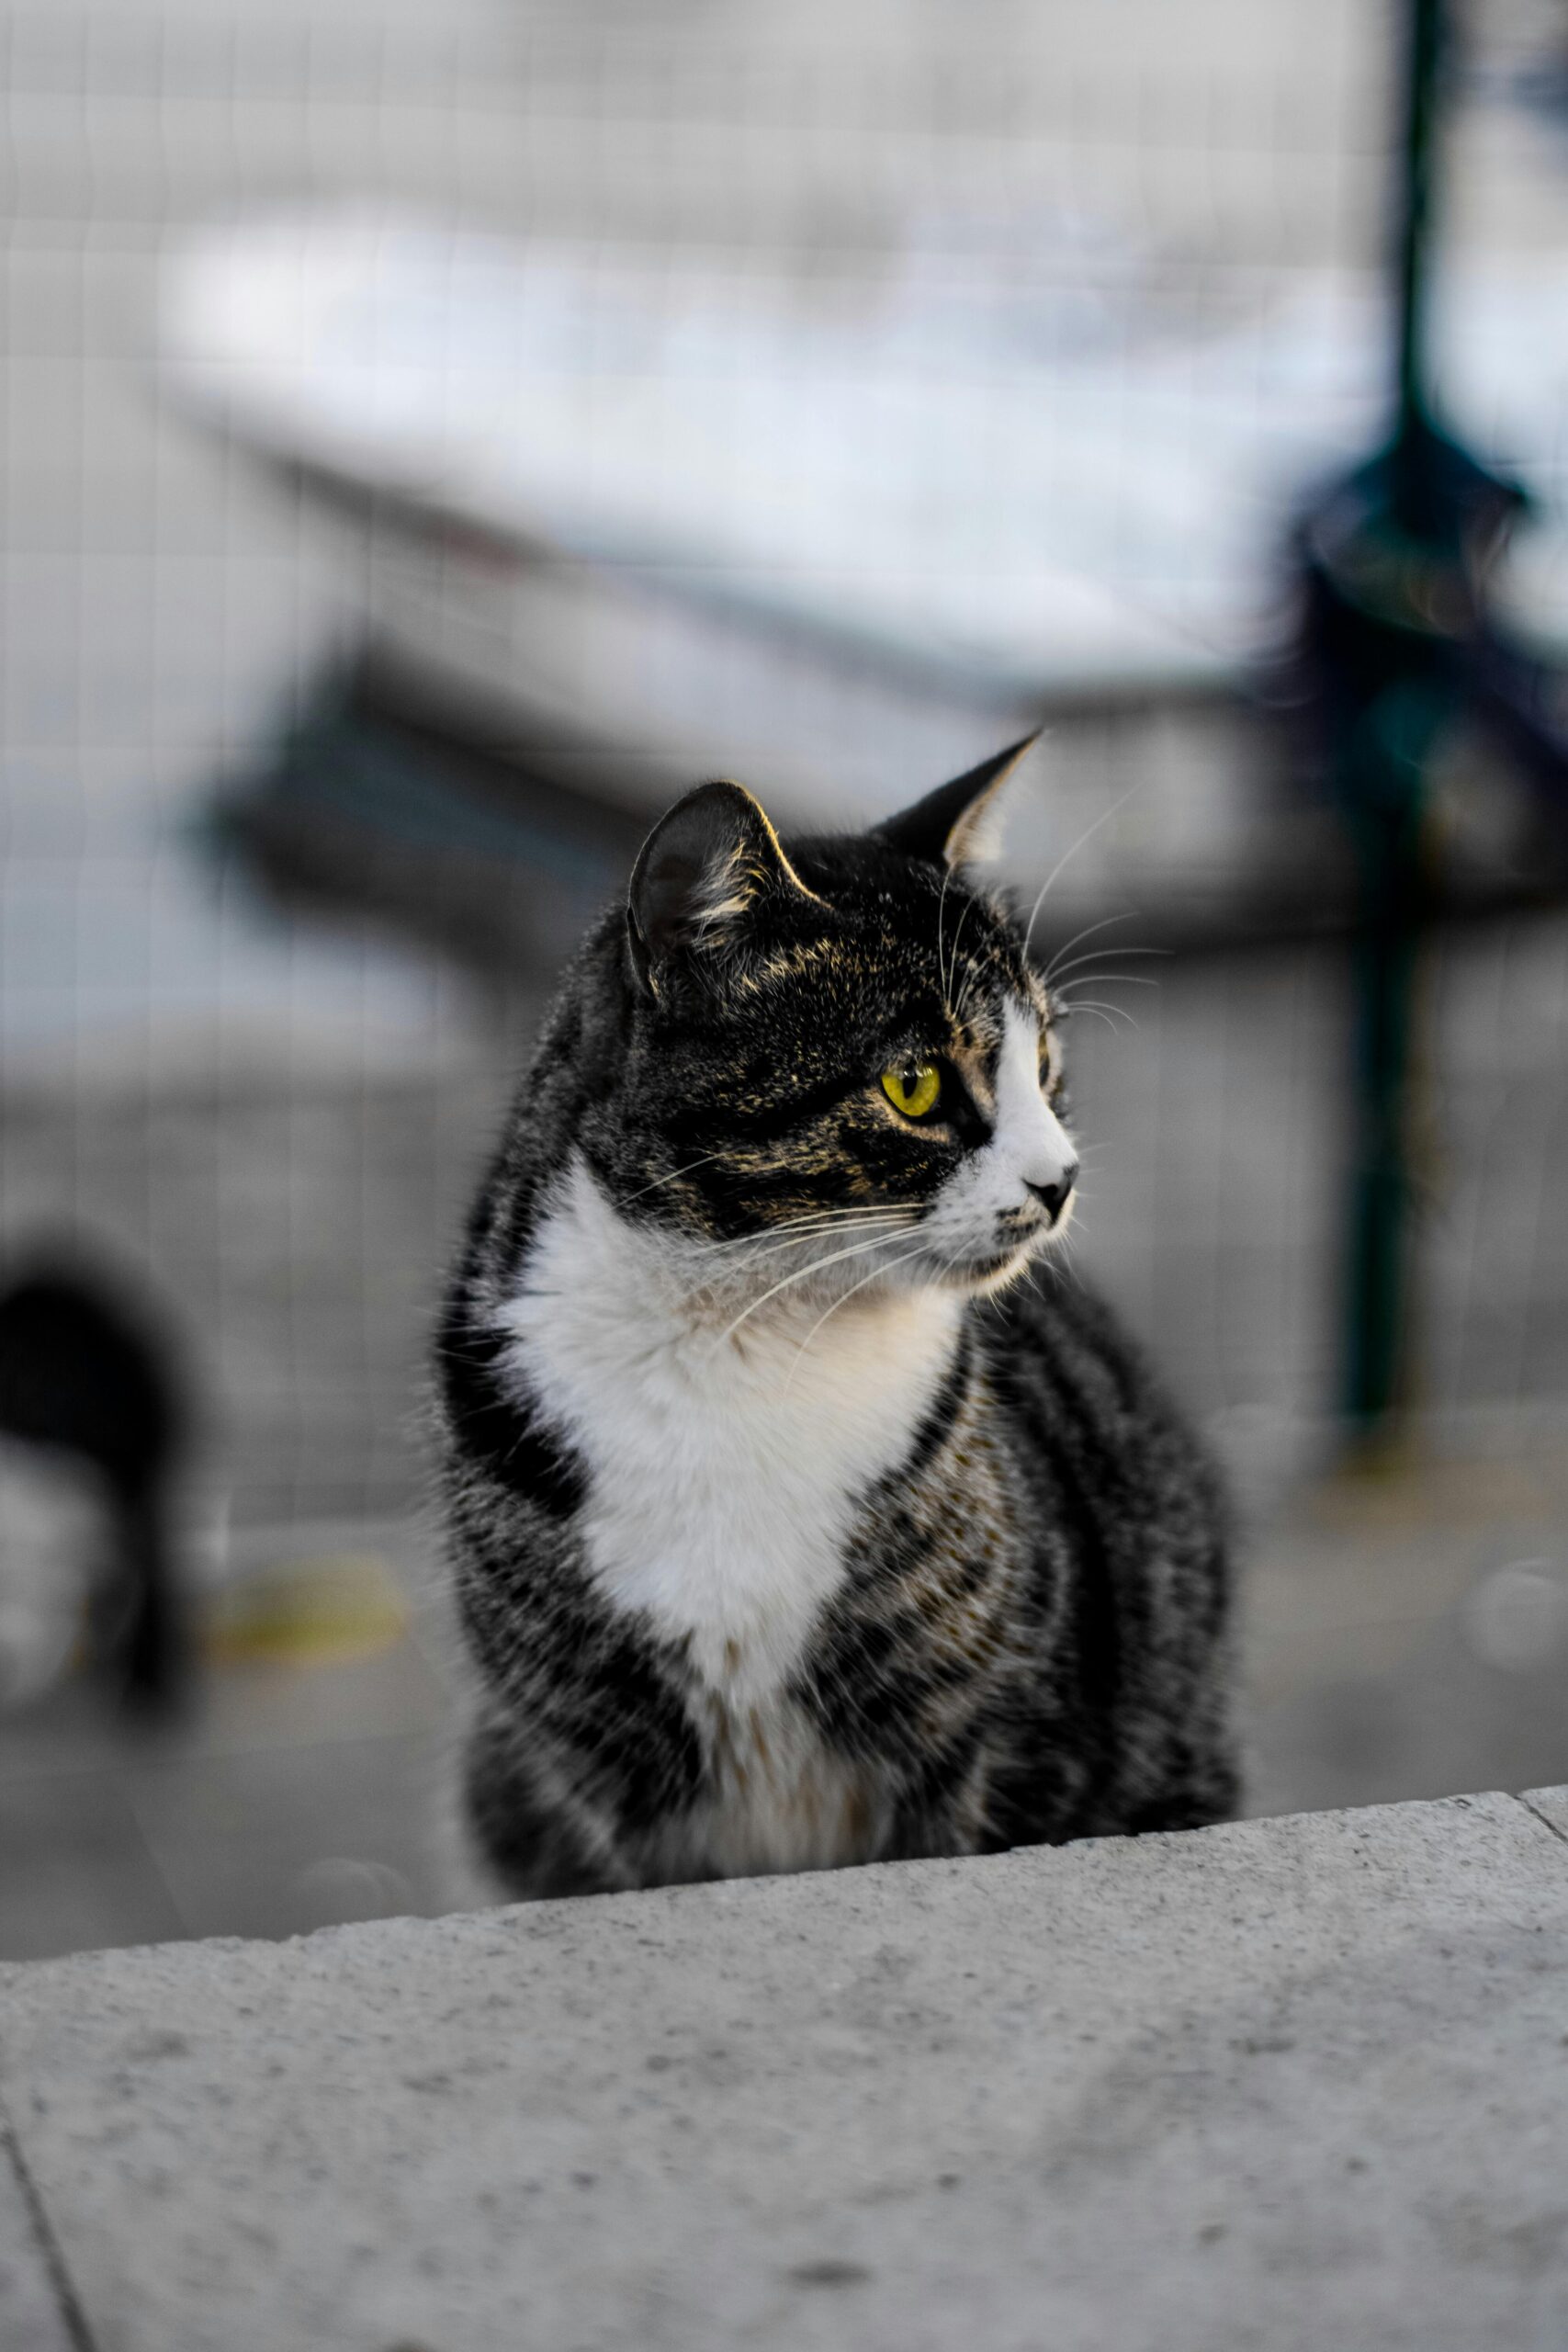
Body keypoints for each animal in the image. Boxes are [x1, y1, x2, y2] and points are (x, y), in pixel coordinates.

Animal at [434, 737, 1237, 1898]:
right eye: (914, 1085)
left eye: (1044, 1067)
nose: (1061, 1180)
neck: (742, 1334)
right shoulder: (603, 1778)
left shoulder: (999, 1741)